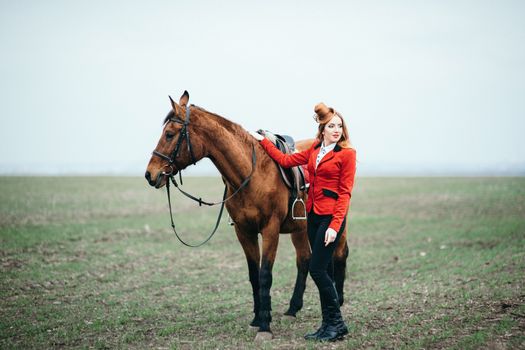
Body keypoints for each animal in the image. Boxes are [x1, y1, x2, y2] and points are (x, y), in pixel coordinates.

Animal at [144, 91, 348, 342]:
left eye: (170, 134)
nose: (150, 174)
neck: (251, 174)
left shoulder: (270, 230)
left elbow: (265, 274)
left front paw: (265, 327)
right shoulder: (244, 231)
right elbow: (253, 275)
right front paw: (257, 319)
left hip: (336, 226)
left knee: (339, 253)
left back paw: (338, 299)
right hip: (300, 229)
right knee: (305, 260)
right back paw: (293, 309)